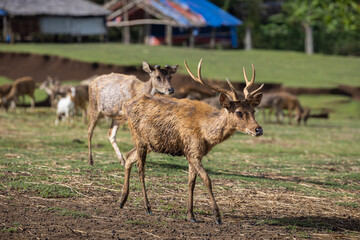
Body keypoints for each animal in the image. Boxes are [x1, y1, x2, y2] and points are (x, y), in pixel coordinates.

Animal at [119, 59, 262, 224]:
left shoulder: (194, 153)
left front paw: (191, 214)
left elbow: (191, 183)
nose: (258, 130)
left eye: (253, 111)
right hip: (139, 137)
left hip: (150, 143)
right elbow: (207, 179)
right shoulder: (193, 151)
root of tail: (125, 104)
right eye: (239, 112)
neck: (205, 133)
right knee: (141, 169)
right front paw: (217, 216)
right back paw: (147, 207)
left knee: (129, 156)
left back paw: (122, 200)